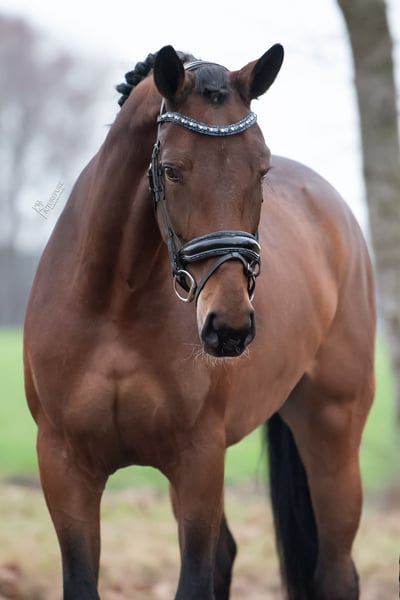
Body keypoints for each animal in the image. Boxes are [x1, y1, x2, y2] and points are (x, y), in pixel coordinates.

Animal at [23, 44, 375, 600]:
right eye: (170, 170)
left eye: (262, 169)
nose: (228, 326)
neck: (113, 308)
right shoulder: (64, 467)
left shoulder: (199, 461)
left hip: (332, 430)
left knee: (336, 573)